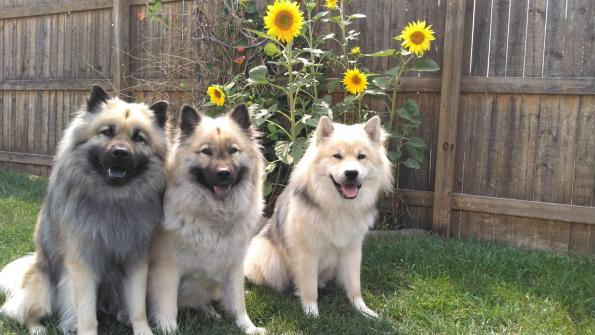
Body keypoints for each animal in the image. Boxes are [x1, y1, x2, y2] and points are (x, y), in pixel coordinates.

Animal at [0, 86, 169, 335]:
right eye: (107, 132)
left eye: (138, 138)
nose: (120, 152)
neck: (112, 200)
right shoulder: (82, 264)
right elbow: (87, 313)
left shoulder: (136, 261)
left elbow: (138, 307)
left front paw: (143, 330)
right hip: (43, 286)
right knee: (22, 312)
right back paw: (39, 327)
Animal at [150, 105, 266, 335]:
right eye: (206, 152)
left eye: (233, 150)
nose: (223, 174)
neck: (214, 215)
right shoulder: (167, 269)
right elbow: (168, 306)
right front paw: (169, 328)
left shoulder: (234, 266)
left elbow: (238, 302)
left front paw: (248, 327)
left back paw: (211, 314)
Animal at [244, 117, 394, 318]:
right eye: (337, 156)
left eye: (361, 156)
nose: (351, 173)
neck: (338, 206)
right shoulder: (307, 253)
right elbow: (309, 288)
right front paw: (311, 313)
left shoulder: (352, 250)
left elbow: (354, 285)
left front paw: (363, 310)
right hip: (268, 258)